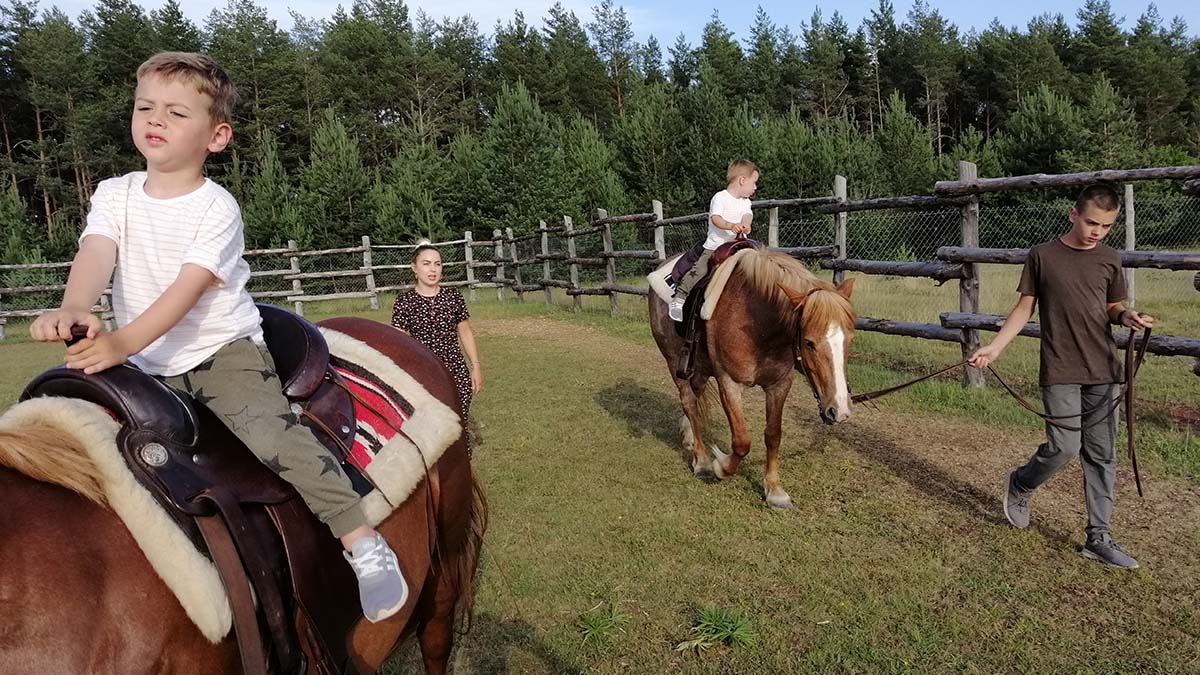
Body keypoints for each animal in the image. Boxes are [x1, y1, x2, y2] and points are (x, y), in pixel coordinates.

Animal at [649, 248, 856, 508]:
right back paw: (702, 463)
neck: (757, 320)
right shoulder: (728, 383)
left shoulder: (779, 385)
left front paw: (775, 490)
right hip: (674, 360)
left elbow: (773, 435)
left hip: (700, 368)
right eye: (809, 342)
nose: (839, 411)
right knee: (689, 403)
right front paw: (720, 466)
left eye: (850, 339)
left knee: (693, 402)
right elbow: (741, 442)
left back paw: (689, 438)